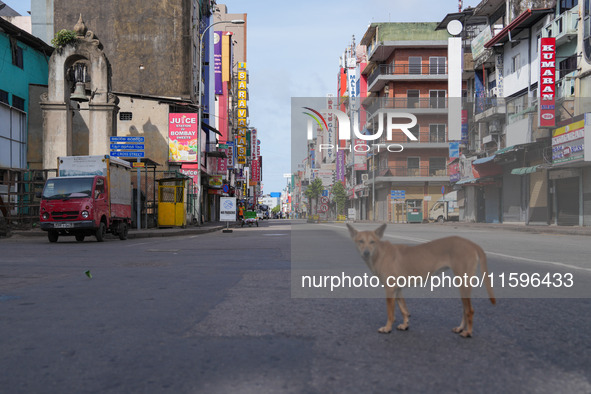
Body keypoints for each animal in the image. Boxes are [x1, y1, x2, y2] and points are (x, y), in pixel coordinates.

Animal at [346, 223, 494, 338]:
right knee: (465, 309)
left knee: (470, 310)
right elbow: (403, 309)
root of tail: (472, 244)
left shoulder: (389, 289)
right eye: (360, 241)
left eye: (372, 242)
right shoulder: (398, 289)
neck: (380, 253)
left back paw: (468, 332)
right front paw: (405, 324)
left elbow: (390, 313)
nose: (366, 253)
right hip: (462, 285)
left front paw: (387, 328)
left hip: (463, 282)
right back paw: (461, 328)